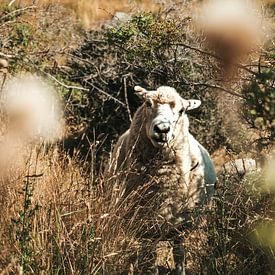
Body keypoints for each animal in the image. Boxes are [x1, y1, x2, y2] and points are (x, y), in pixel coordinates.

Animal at [108, 85, 218, 274]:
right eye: (147, 103)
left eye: (182, 110)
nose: (162, 129)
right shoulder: (144, 227)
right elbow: (149, 258)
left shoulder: (181, 225)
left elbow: (178, 254)